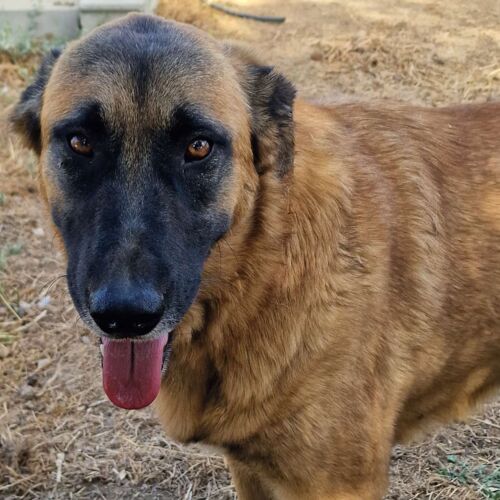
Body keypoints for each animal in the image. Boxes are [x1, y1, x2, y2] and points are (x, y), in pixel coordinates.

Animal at [11, 13, 500, 500]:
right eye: (79, 143)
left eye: (198, 147)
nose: (125, 316)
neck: (263, 267)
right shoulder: (251, 471)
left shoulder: (342, 485)